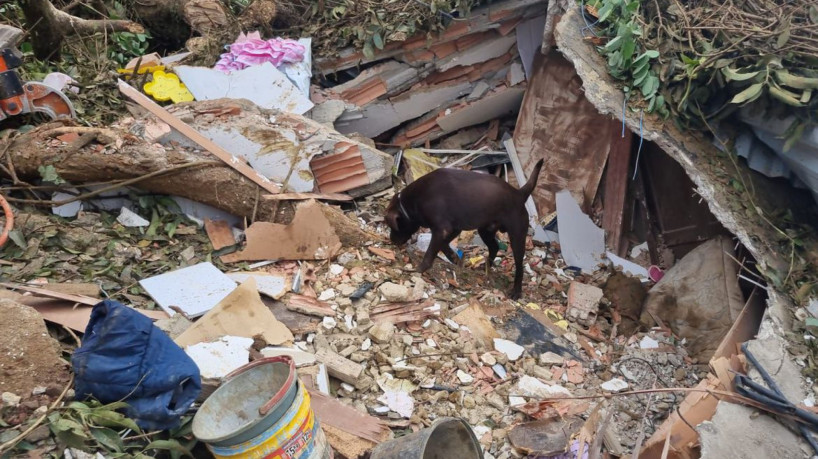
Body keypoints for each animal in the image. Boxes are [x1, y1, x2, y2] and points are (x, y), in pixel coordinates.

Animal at [384, 160, 540, 300]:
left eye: (392, 226)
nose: (391, 240)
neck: (412, 201)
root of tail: (519, 193)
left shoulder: (442, 229)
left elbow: (430, 253)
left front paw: (420, 269)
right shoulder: (453, 229)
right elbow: (444, 245)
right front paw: (454, 258)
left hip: (517, 236)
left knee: (519, 266)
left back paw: (516, 291)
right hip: (485, 231)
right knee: (494, 247)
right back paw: (486, 267)